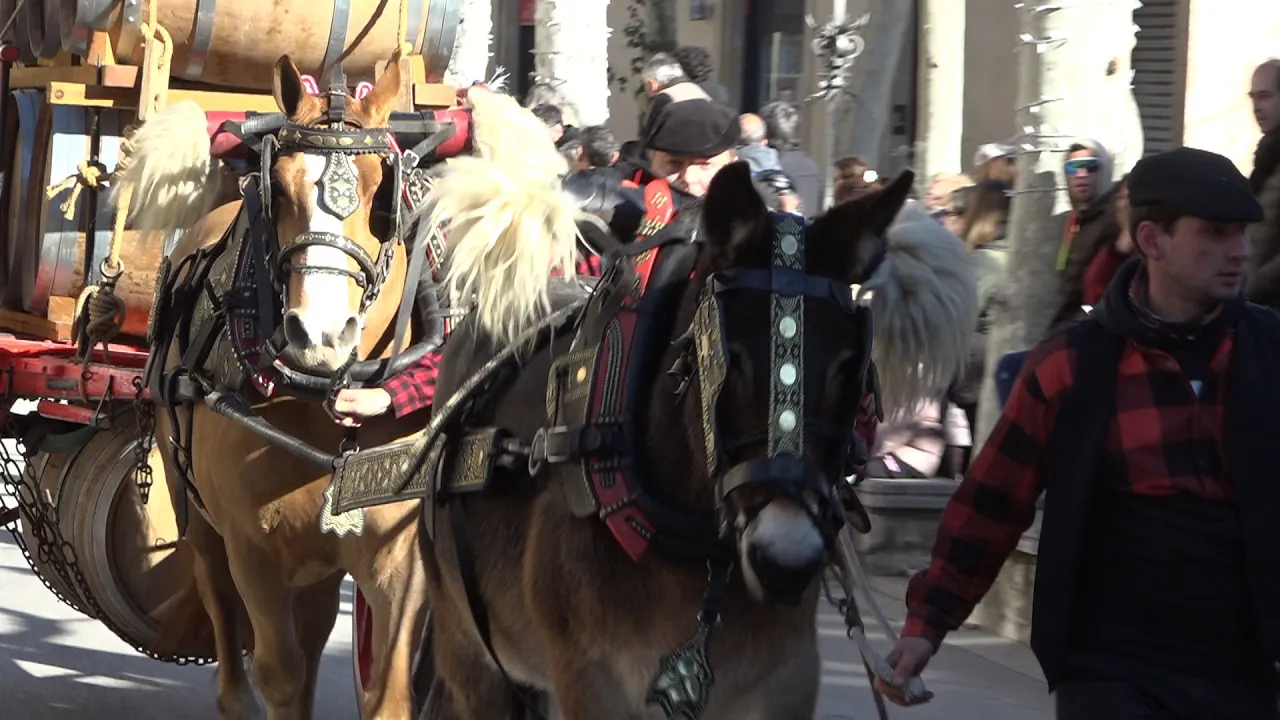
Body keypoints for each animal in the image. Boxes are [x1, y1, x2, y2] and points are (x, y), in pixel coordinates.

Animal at [117, 53, 435, 712]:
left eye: (381, 194)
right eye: (277, 188)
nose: (320, 334)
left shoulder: (400, 560)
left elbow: (387, 695)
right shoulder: (252, 550)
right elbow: (279, 675)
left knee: (314, 632)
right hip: (197, 511)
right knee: (219, 601)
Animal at [414, 147, 972, 717]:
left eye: (847, 365)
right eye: (734, 356)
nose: (786, 562)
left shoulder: (786, 681)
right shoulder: (591, 681)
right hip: (471, 653)